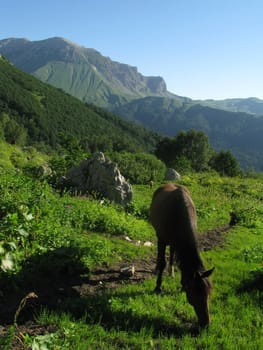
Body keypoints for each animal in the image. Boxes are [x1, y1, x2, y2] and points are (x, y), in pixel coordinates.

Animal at [150, 183, 216, 328]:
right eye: (194, 295)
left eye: (209, 293)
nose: (206, 323)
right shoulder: (162, 239)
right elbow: (162, 262)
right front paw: (158, 287)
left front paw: (181, 283)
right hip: (160, 236)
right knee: (161, 256)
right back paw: (158, 269)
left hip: (174, 242)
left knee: (173, 253)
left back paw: (172, 272)